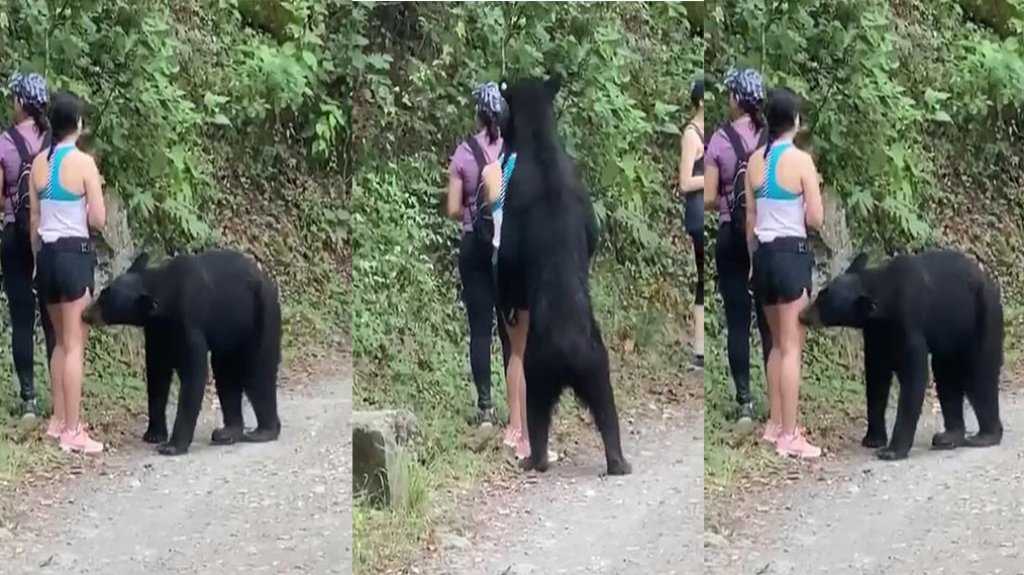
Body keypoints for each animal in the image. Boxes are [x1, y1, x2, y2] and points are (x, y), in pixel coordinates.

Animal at [82, 249, 283, 456]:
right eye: (104, 293)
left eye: (106, 300)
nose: (85, 314)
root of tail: (267, 281)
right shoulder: (156, 331)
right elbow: (157, 373)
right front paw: (154, 434)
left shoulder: (188, 319)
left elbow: (193, 373)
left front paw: (172, 445)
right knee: (226, 373)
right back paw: (228, 432)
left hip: (260, 317)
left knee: (257, 372)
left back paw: (264, 431)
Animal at [495, 74, 631, 476]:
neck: (540, 146)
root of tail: (570, 353)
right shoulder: (582, 198)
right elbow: (592, 234)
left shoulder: (514, 200)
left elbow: (507, 257)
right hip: (598, 365)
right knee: (608, 410)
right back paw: (618, 460)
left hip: (538, 369)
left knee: (537, 412)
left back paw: (533, 459)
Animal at [799, 249, 1004, 461]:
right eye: (821, 294)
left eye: (824, 302)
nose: (802, 315)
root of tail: (989, 282)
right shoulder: (876, 334)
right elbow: (876, 377)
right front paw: (873, 438)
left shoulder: (908, 322)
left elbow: (914, 376)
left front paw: (892, 450)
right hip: (950, 338)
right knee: (947, 376)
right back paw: (949, 436)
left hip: (981, 318)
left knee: (978, 375)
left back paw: (985, 435)